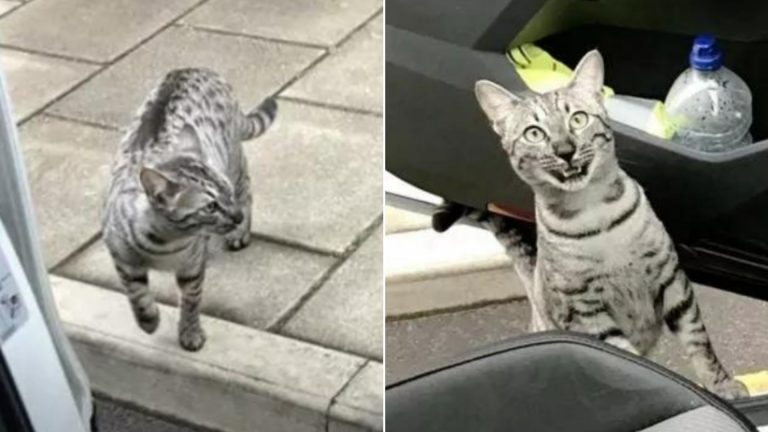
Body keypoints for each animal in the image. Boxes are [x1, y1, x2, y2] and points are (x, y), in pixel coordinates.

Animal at [102, 68, 276, 352]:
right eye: (211, 206)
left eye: (226, 193)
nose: (235, 215)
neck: (164, 244)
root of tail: (195, 69)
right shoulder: (123, 260)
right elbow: (136, 295)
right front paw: (148, 320)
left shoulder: (192, 269)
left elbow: (191, 302)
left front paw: (190, 333)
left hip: (234, 162)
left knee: (247, 190)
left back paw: (240, 231)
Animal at [436, 52, 748, 400]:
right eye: (534, 133)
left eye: (578, 119)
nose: (565, 150)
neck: (595, 214)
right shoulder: (586, 309)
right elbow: (625, 355)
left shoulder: (670, 278)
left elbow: (699, 341)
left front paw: (722, 385)